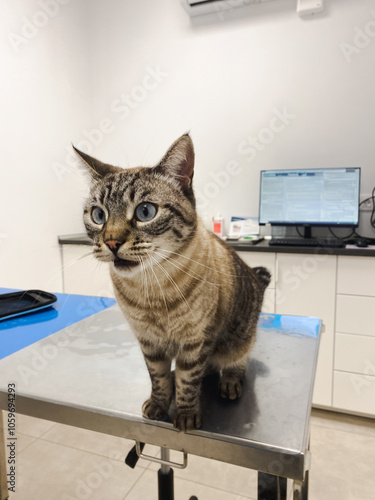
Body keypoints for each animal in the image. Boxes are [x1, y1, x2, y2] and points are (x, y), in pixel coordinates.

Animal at [75, 135, 270, 432]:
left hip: (238, 341)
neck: (151, 288)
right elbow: (159, 379)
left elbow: (189, 383)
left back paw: (229, 384)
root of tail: (256, 280)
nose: (111, 242)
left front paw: (186, 417)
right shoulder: (149, 343)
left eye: (145, 212)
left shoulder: (195, 343)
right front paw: (158, 405)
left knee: (235, 364)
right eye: (98, 215)